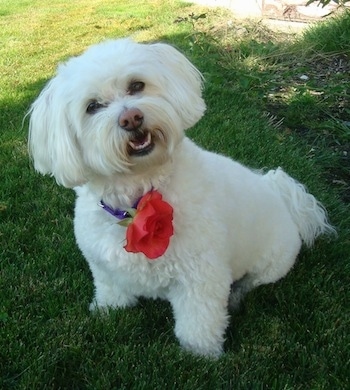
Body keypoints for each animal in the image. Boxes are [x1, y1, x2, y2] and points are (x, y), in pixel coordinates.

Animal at [27, 38, 334, 356]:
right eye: (92, 107)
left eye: (137, 85)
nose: (131, 118)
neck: (136, 201)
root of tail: (286, 200)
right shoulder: (103, 266)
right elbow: (111, 290)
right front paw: (106, 310)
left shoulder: (201, 277)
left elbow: (199, 320)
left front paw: (200, 353)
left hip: (272, 263)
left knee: (252, 281)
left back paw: (236, 296)